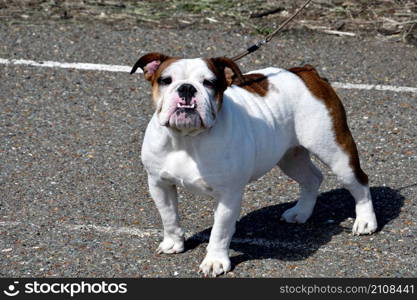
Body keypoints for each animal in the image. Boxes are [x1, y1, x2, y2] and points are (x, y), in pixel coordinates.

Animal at [131, 53, 376, 276]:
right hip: (290, 157)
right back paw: (301, 212)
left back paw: (365, 221)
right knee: (312, 178)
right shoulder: (159, 184)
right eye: (166, 80)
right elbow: (169, 215)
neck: (186, 139)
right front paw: (174, 243)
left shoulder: (228, 195)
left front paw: (215, 261)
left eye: (209, 83)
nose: (187, 88)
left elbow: (220, 231)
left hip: (336, 152)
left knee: (359, 182)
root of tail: (306, 72)